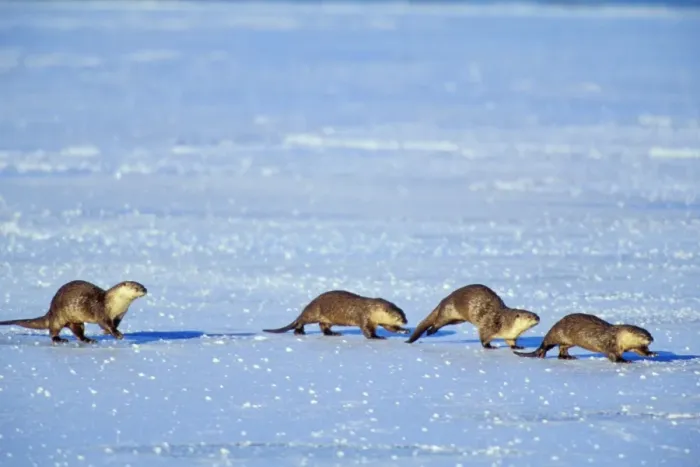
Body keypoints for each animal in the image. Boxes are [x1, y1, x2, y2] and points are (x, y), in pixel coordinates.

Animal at [0, 280, 147, 344]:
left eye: (143, 285)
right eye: (136, 287)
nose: (145, 290)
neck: (115, 305)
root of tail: (50, 311)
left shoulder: (120, 315)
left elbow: (113, 324)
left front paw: (109, 332)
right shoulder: (100, 310)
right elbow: (105, 323)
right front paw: (117, 334)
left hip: (76, 321)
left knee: (78, 332)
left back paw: (88, 340)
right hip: (58, 317)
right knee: (53, 331)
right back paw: (60, 339)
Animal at [263, 290, 409, 339]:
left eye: (404, 314)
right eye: (398, 317)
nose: (406, 322)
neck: (371, 309)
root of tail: (310, 304)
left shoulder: (379, 320)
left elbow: (389, 327)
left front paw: (403, 331)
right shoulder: (364, 317)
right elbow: (367, 330)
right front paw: (376, 337)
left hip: (327, 319)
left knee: (324, 327)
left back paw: (333, 333)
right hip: (314, 313)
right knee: (301, 320)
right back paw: (299, 331)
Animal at [406, 284, 540, 349]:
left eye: (536, 314)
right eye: (529, 316)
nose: (538, 318)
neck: (504, 322)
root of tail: (445, 299)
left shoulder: (510, 336)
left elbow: (511, 342)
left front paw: (517, 346)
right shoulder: (488, 325)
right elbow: (483, 337)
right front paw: (489, 347)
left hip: (457, 320)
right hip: (449, 311)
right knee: (438, 321)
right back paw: (430, 331)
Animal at [514, 313, 656, 363]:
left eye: (650, 334)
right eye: (643, 335)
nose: (652, 339)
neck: (618, 338)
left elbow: (640, 350)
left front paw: (651, 353)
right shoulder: (610, 344)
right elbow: (613, 355)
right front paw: (624, 361)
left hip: (569, 342)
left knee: (562, 349)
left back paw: (568, 357)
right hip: (557, 334)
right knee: (546, 345)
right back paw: (542, 354)